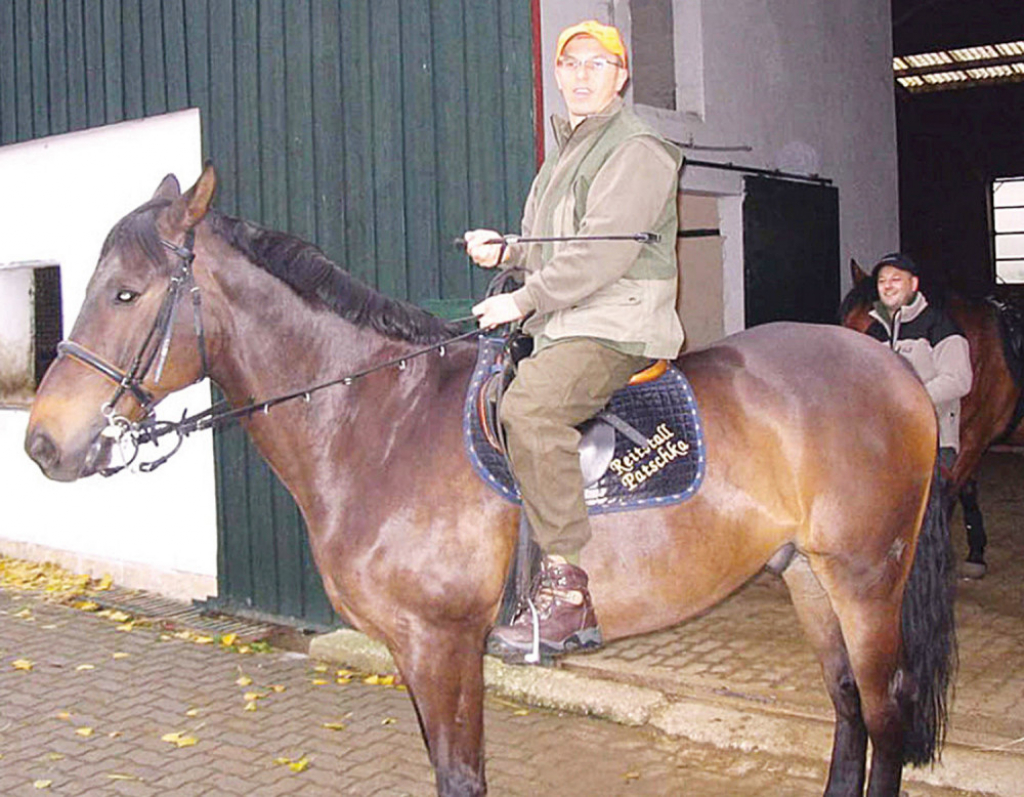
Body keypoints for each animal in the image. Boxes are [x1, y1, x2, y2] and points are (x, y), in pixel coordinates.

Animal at [24, 164, 954, 790]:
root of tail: (893, 370)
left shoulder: (444, 644)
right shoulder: (412, 650)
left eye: (126, 292)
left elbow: (461, 773)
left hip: (866, 577)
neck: (379, 420)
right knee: (847, 708)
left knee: (883, 710)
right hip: (805, 574)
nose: (41, 443)